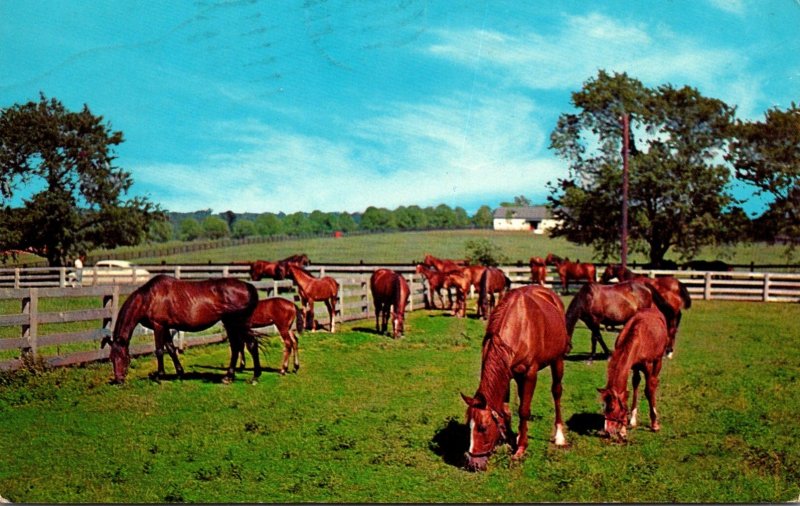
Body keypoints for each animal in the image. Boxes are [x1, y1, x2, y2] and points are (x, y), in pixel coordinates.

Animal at [98, 276, 258, 384]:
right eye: (111, 358)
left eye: (122, 357)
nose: (119, 379)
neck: (148, 298)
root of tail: (247, 286)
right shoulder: (166, 327)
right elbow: (171, 349)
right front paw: (180, 373)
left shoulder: (158, 326)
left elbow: (159, 350)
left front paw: (159, 376)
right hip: (231, 324)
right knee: (238, 346)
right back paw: (230, 376)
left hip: (235, 323)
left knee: (247, 345)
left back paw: (252, 377)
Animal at [460, 284, 572, 470]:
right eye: (468, 426)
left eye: (483, 427)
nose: (473, 463)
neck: (518, 327)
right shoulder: (505, 375)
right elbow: (505, 410)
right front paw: (509, 439)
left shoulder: (529, 375)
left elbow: (524, 410)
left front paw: (520, 448)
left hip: (557, 360)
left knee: (557, 392)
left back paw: (559, 436)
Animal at [596, 306, 672, 440]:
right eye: (603, 406)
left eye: (612, 407)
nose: (608, 431)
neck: (639, 338)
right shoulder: (631, 366)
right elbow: (628, 391)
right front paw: (624, 429)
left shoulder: (648, 366)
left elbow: (649, 390)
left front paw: (654, 424)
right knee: (636, 382)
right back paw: (633, 419)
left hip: (658, 361)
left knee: (654, 382)